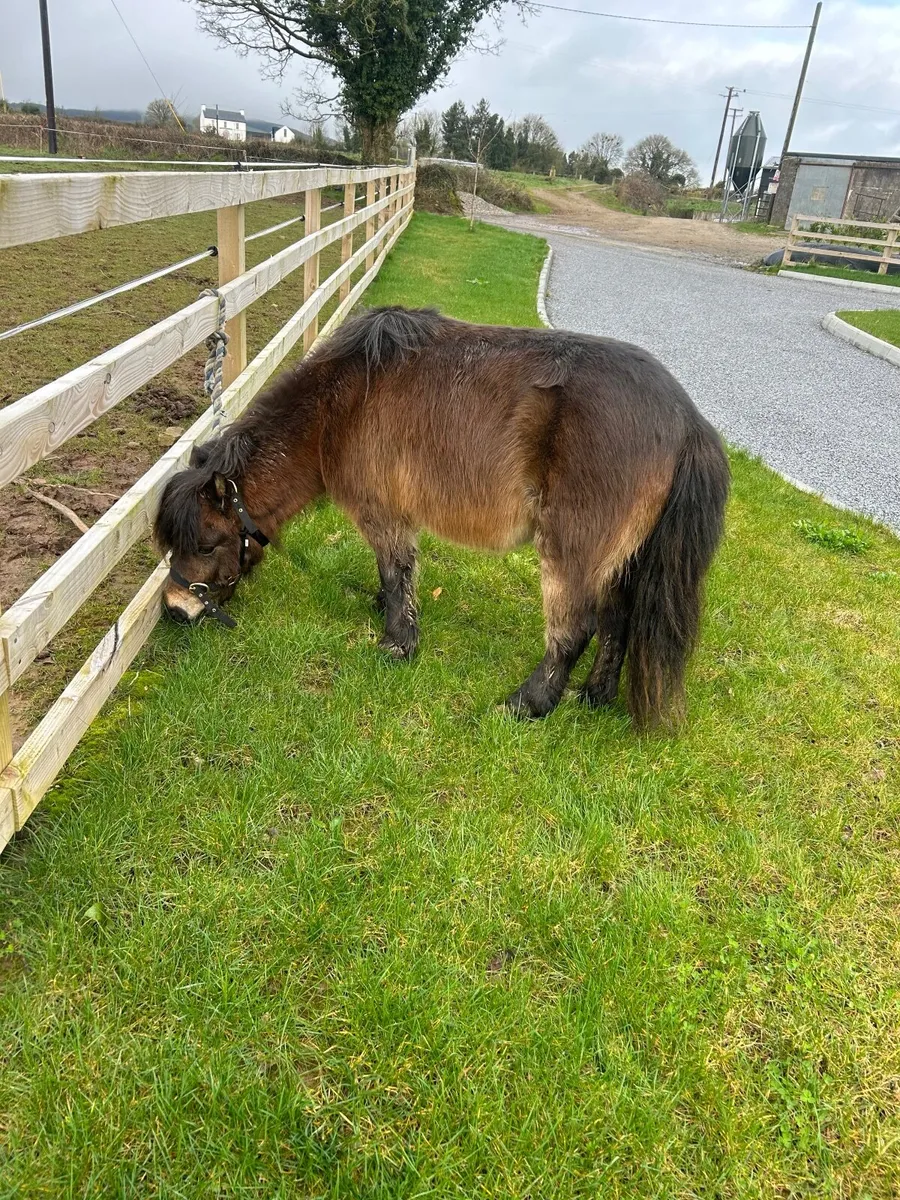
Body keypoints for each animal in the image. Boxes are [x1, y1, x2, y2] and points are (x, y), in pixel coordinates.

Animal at [154, 306, 730, 727]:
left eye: (206, 543)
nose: (175, 609)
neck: (340, 404)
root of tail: (687, 419)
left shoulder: (384, 515)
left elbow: (397, 571)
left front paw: (396, 642)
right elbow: (392, 574)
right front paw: (384, 612)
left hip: (572, 550)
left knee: (575, 628)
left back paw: (527, 703)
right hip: (620, 558)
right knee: (617, 618)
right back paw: (594, 694)